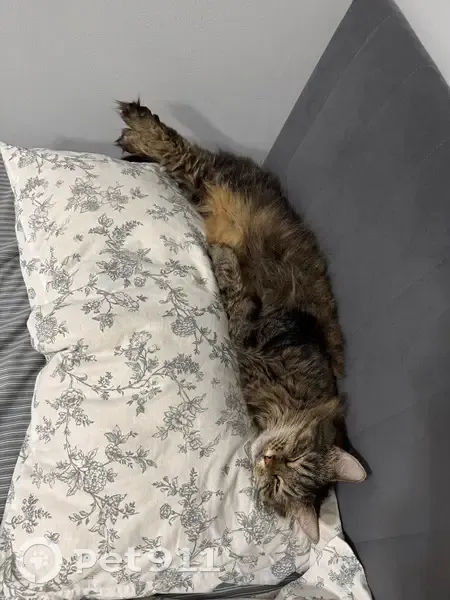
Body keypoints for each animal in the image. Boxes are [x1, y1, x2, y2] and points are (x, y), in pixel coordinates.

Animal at [116, 100, 366, 542]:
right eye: (293, 455)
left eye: (278, 484)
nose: (267, 458)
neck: (296, 399)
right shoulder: (274, 328)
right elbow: (236, 281)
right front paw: (225, 257)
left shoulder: (246, 331)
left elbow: (234, 294)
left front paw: (221, 259)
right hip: (216, 180)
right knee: (182, 150)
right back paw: (138, 127)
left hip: (201, 187)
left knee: (182, 161)